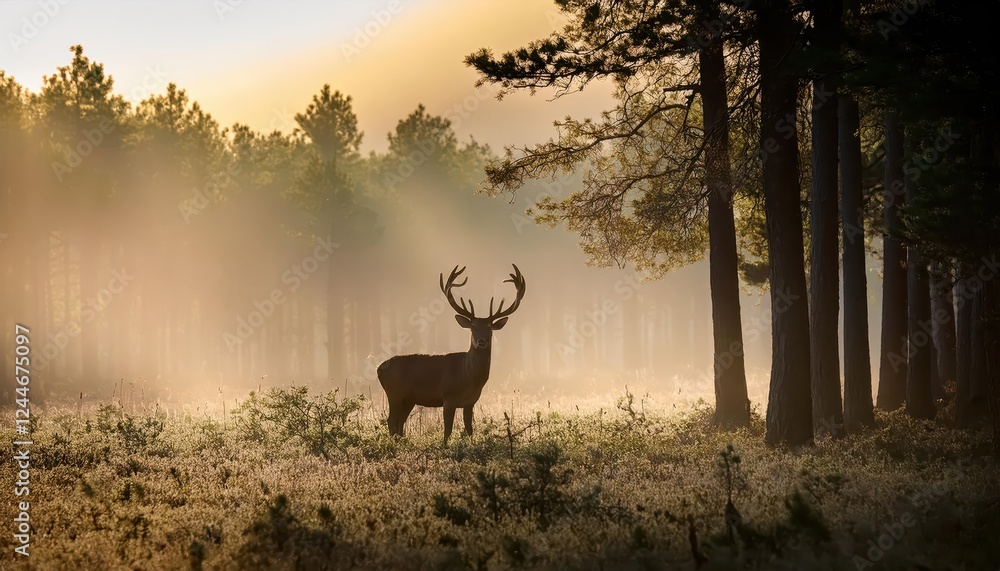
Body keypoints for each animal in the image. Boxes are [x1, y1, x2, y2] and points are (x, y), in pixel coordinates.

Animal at [377, 264, 525, 444]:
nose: (481, 341)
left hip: (408, 399)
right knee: (392, 420)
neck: (468, 376)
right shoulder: (448, 397)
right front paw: (444, 446)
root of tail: (378, 369)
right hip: (394, 393)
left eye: (490, 328)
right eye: (472, 327)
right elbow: (447, 430)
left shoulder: (470, 402)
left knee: (399, 422)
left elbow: (469, 429)